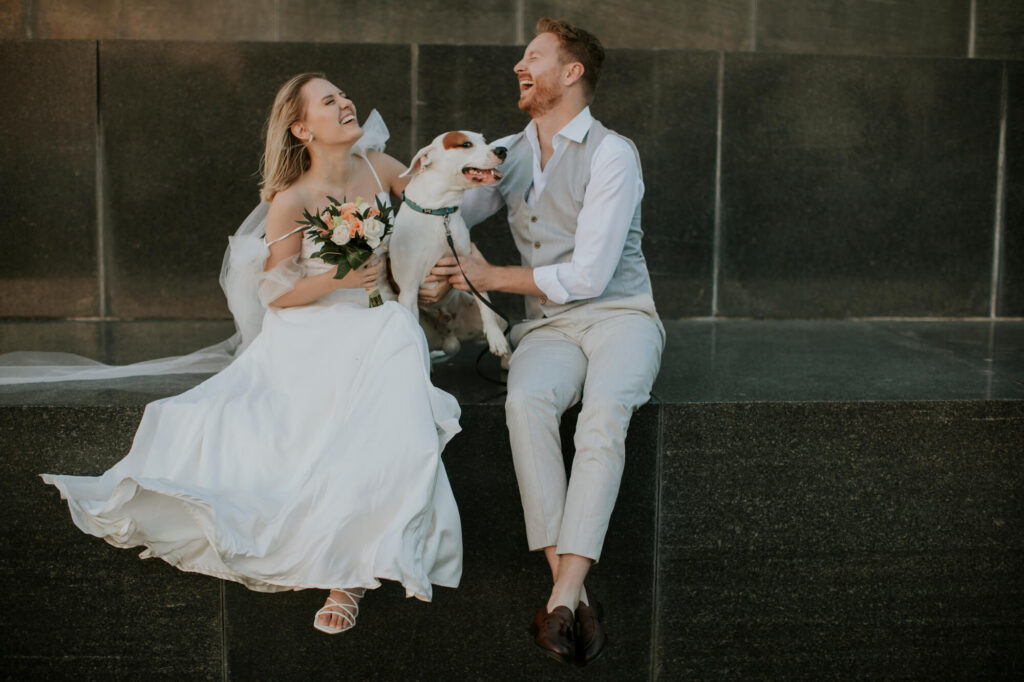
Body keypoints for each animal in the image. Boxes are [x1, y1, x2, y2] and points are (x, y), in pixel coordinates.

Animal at [387, 129, 512, 358]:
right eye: (466, 144)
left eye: (485, 140)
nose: (502, 150)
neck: (439, 212)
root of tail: (449, 335)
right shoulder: (408, 290)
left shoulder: (471, 269)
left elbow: (487, 310)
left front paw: (495, 338)